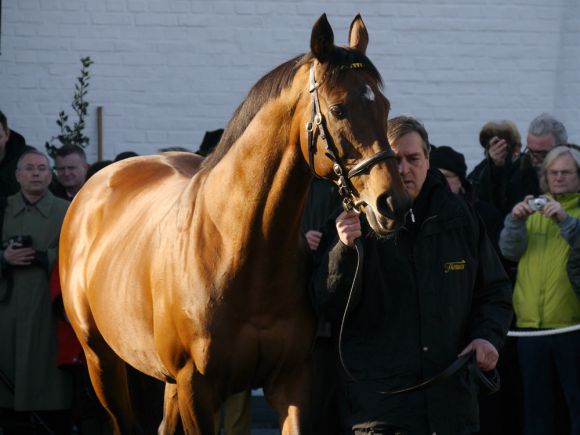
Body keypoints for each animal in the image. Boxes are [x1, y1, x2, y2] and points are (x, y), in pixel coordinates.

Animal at [59, 13, 410, 435]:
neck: (239, 249)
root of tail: (94, 186)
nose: (392, 203)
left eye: (385, 105)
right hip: (103, 363)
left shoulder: (291, 381)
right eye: (339, 108)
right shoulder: (198, 388)